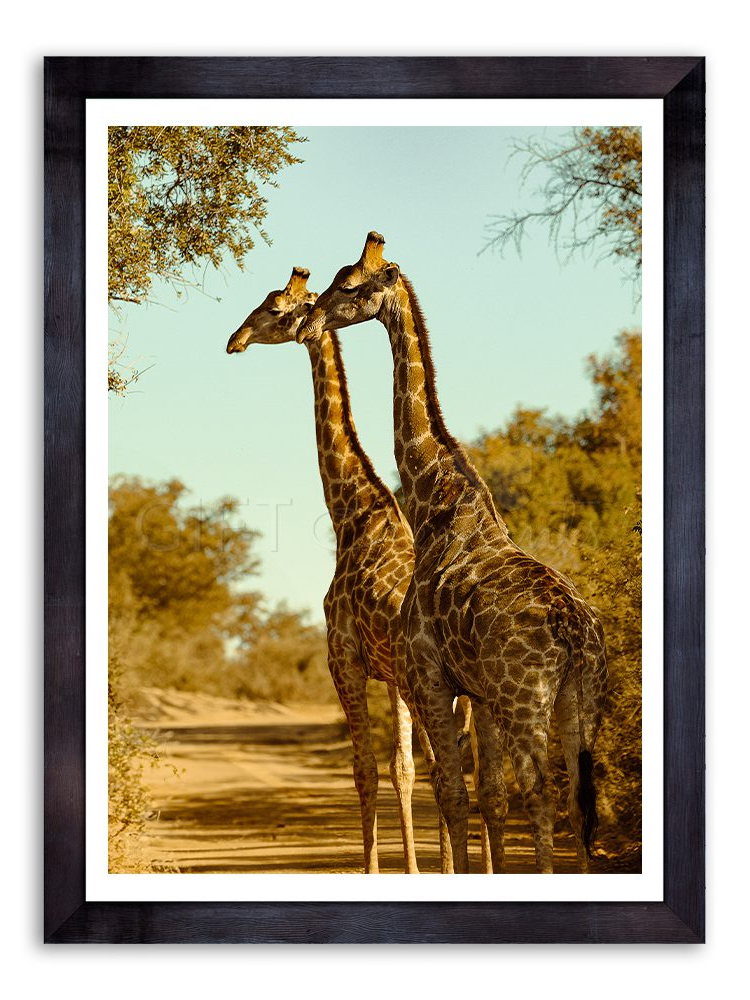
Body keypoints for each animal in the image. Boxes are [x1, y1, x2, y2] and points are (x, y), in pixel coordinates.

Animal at [226, 267, 482, 873]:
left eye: (273, 308)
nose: (235, 340)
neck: (352, 511)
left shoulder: (342, 658)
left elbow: (368, 769)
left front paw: (378, 868)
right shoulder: (388, 675)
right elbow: (402, 769)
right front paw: (413, 867)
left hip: (430, 686)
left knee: (452, 770)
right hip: (461, 695)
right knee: (478, 773)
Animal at [299, 234, 609, 874]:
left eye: (348, 284)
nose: (310, 316)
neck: (433, 501)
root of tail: (573, 633)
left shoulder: (431, 677)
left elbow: (453, 793)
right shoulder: (477, 691)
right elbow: (485, 794)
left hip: (525, 698)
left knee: (540, 795)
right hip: (583, 699)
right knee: (576, 801)